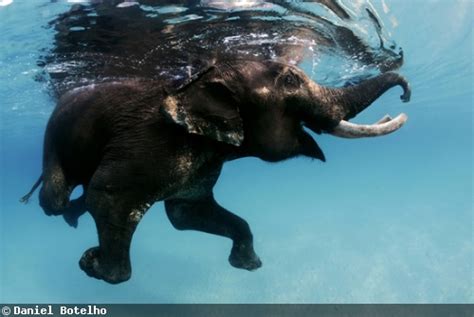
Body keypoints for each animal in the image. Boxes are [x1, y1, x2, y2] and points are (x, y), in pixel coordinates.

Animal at [20, 59, 410, 284]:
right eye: (291, 80)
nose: (405, 94)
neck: (197, 81)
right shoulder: (149, 145)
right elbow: (109, 195)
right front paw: (93, 266)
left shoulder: (202, 164)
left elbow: (186, 213)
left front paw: (249, 264)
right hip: (52, 141)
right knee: (54, 199)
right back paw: (65, 210)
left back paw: (74, 213)